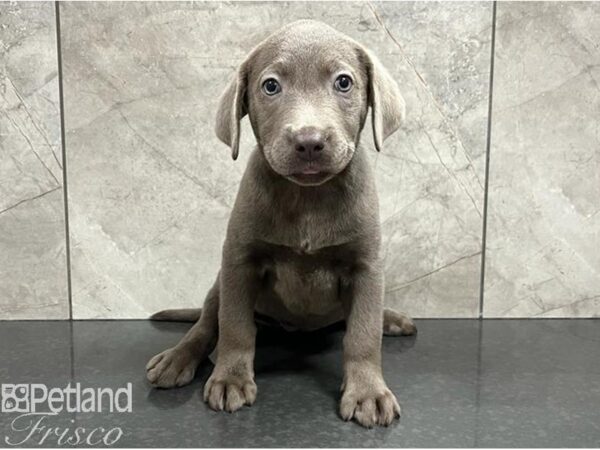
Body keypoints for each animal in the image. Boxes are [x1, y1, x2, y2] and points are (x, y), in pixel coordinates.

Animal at [147, 20, 414, 428]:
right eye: (270, 86)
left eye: (344, 82)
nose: (309, 140)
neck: (307, 198)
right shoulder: (240, 261)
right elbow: (235, 326)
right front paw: (230, 379)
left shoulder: (367, 267)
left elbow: (362, 334)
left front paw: (368, 392)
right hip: (218, 283)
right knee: (207, 323)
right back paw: (178, 358)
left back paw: (392, 318)